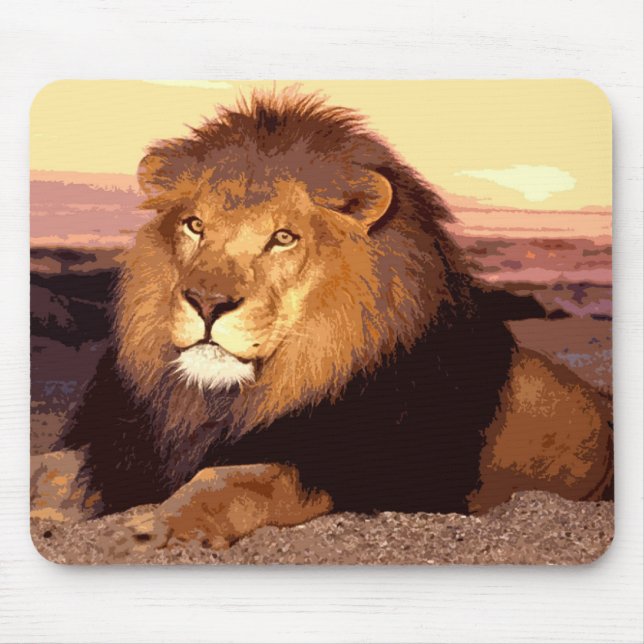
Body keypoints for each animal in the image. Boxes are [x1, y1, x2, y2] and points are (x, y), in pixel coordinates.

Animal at [40, 90, 612, 550]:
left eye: (283, 238)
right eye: (195, 226)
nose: (205, 302)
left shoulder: (354, 471)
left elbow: (237, 480)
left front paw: (148, 529)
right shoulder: (122, 450)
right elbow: (49, 468)